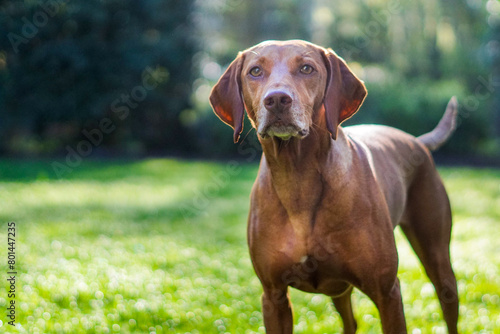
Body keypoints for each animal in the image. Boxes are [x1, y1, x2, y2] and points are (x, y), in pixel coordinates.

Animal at [209, 40, 458, 332]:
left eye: (307, 68)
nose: (277, 99)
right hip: (338, 289)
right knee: (351, 321)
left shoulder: (387, 292)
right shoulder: (273, 295)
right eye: (255, 71)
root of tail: (417, 141)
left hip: (437, 257)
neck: (298, 177)